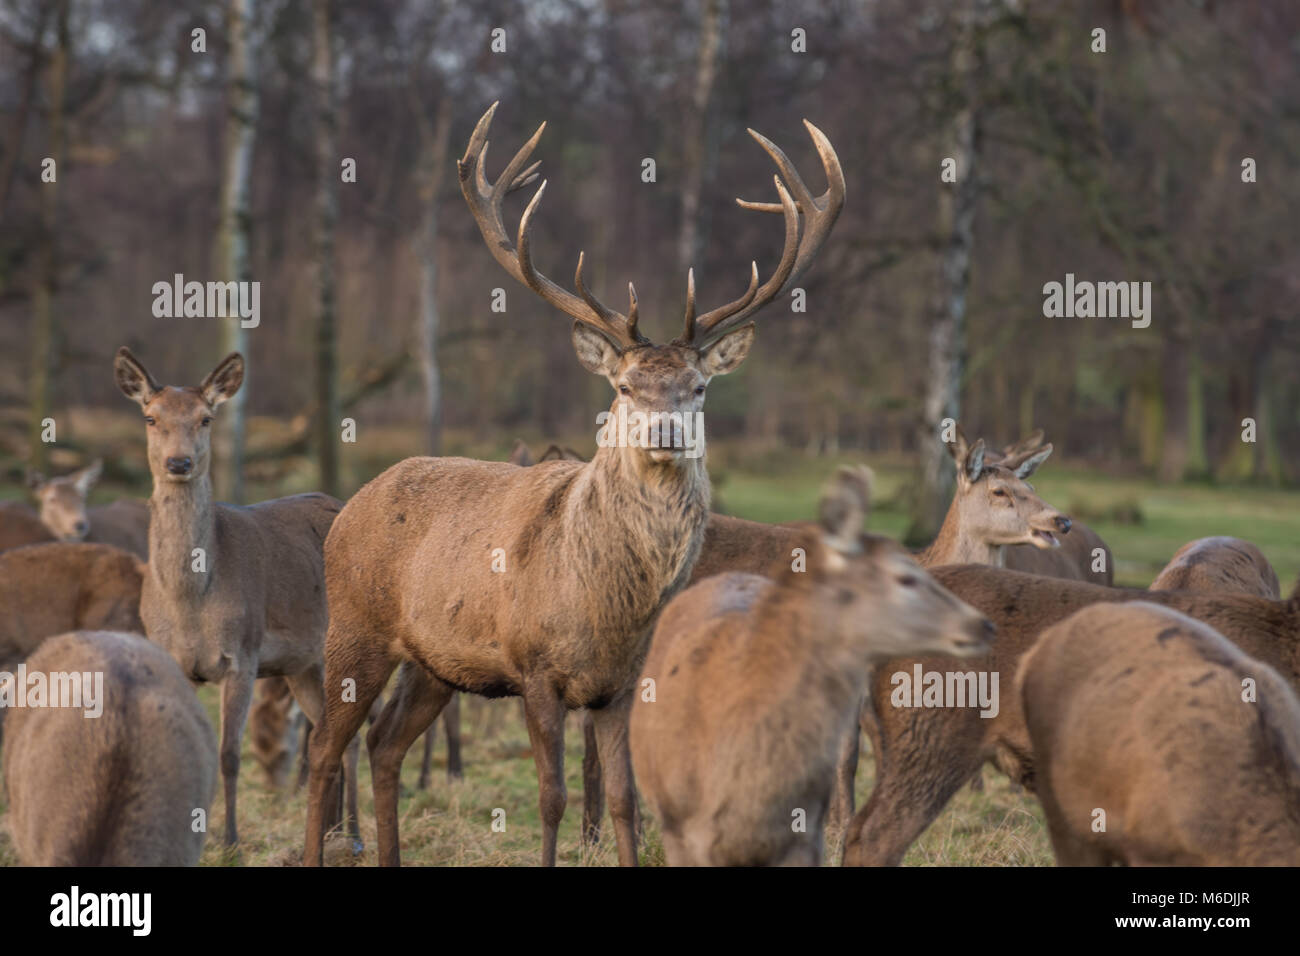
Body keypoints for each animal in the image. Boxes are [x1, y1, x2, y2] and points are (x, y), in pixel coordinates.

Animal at [112, 347, 360, 849]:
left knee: (357, 736)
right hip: (304, 664)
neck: (191, 601)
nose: (179, 463)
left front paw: (229, 841)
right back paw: (333, 832)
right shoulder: (175, 659)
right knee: (328, 732)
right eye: (151, 417)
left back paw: (355, 833)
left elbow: (228, 754)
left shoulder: (242, 654)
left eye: (206, 418)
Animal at [303, 100, 844, 867]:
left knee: (383, 745)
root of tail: (353, 505)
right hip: (353, 627)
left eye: (699, 387)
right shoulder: (534, 668)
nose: (664, 433)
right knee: (326, 748)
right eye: (623, 386)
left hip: (434, 663)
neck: (606, 606)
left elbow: (622, 801)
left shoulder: (620, 686)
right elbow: (552, 797)